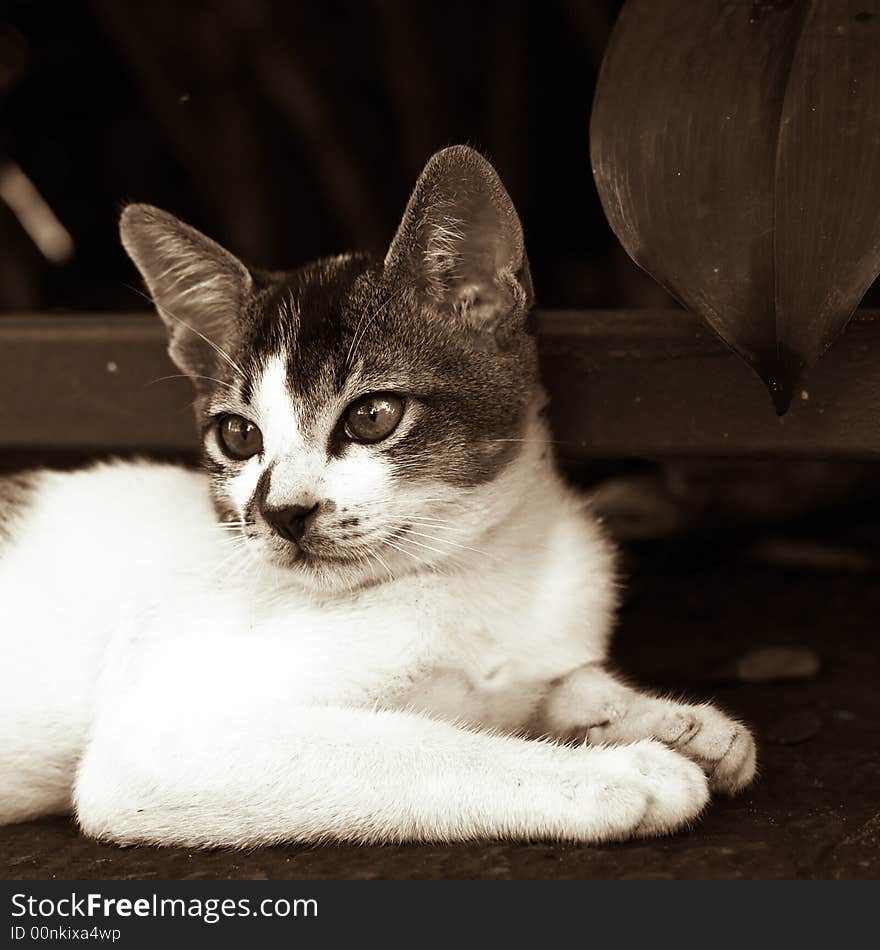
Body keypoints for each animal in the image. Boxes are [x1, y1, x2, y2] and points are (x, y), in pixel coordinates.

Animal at [0, 149, 756, 848]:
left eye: (371, 416)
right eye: (239, 436)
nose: (282, 512)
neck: (474, 575)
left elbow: (554, 683)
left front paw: (671, 720)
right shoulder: (156, 740)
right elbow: (416, 745)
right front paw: (618, 772)